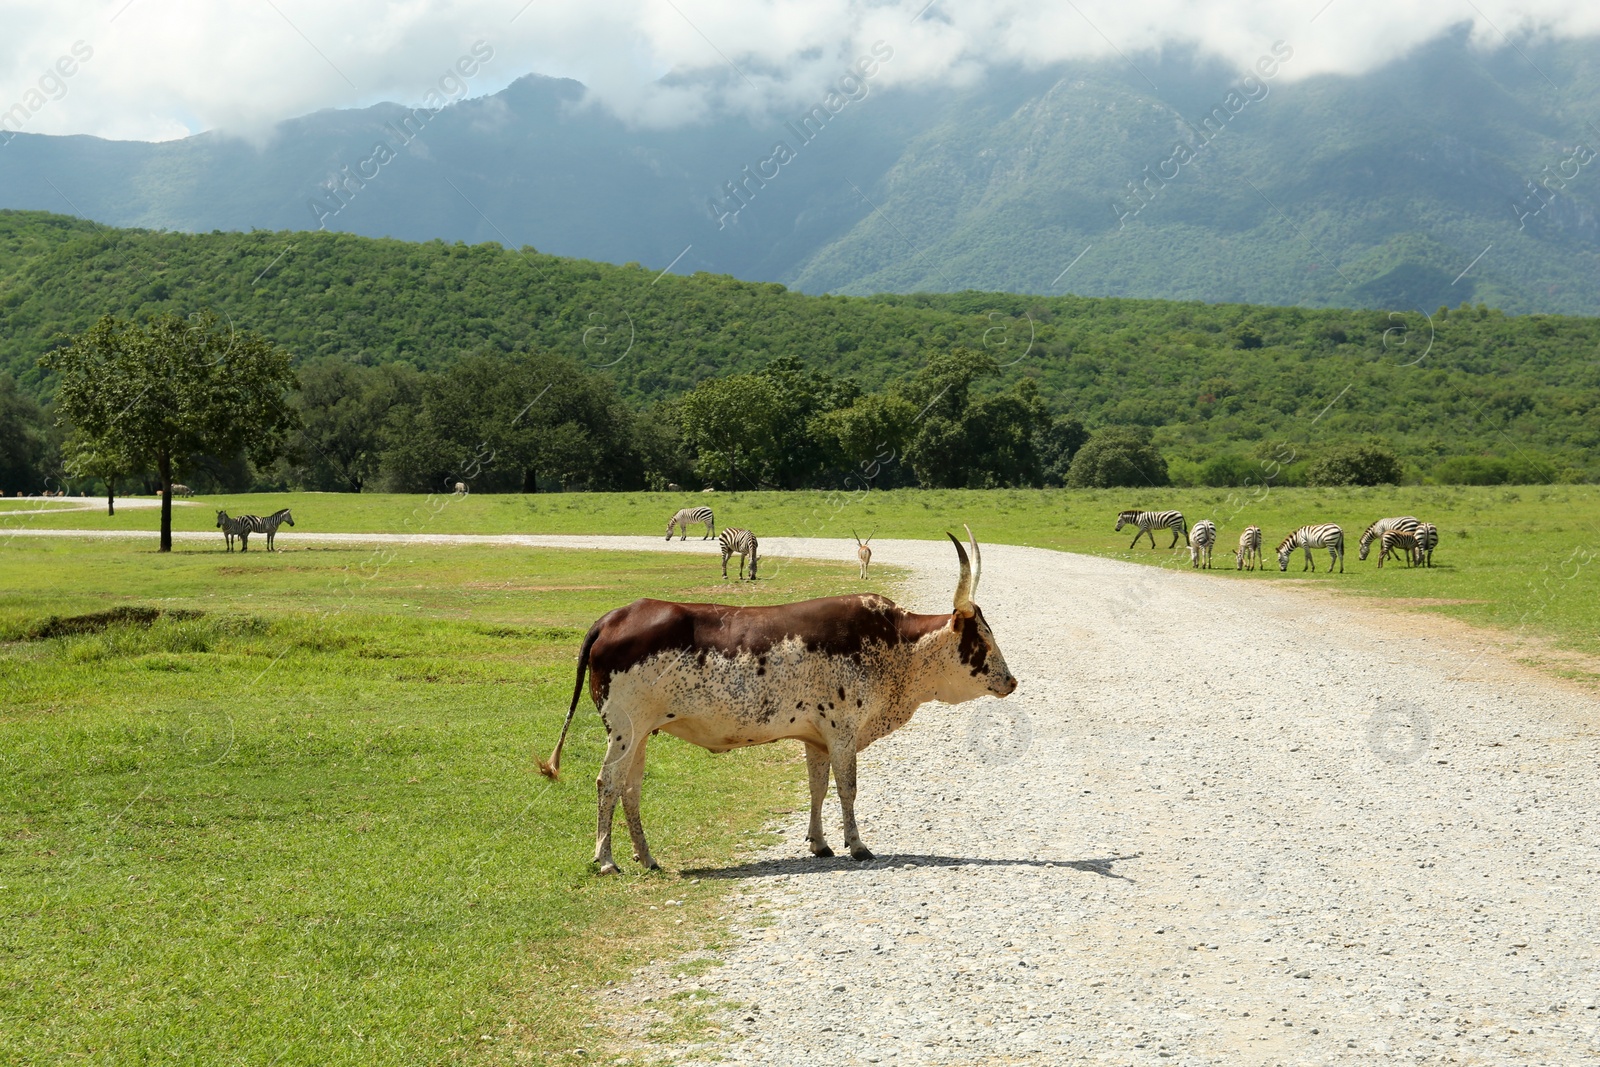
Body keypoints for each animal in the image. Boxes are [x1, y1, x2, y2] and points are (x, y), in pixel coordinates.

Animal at [537, 527, 1011, 876]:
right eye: (982, 638)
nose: (1010, 681)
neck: (896, 643)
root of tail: (613, 617)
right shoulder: (843, 732)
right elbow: (848, 788)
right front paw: (857, 845)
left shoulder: (817, 737)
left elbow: (818, 787)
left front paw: (820, 843)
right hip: (625, 729)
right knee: (608, 783)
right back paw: (606, 860)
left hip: (639, 734)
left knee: (630, 789)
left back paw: (648, 858)